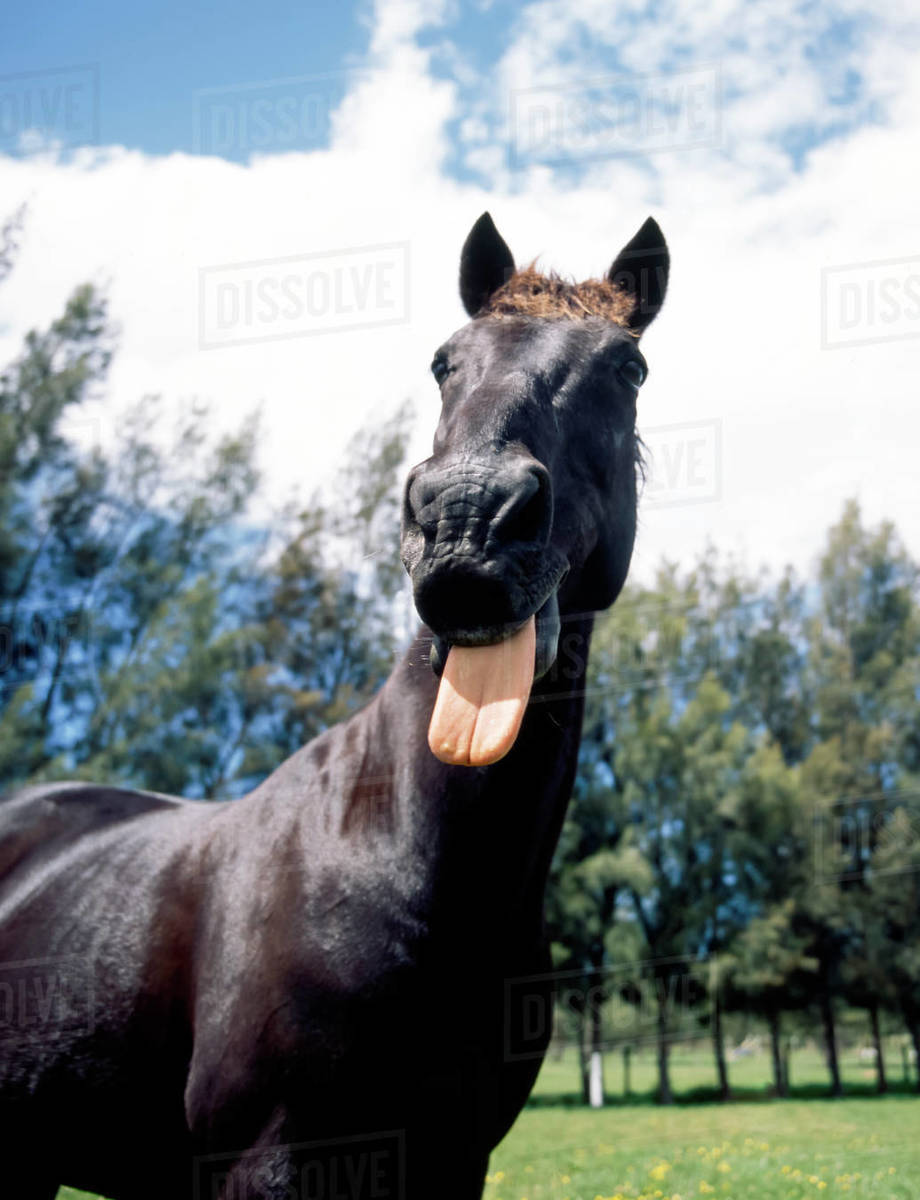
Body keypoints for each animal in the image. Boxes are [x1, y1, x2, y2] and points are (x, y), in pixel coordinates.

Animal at [0, 210, 668, 1200]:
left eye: (629, 368)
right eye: (444, 360)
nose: (468, 522)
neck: (404, 854)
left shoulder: (456, 1160)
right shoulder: (270, 1163)